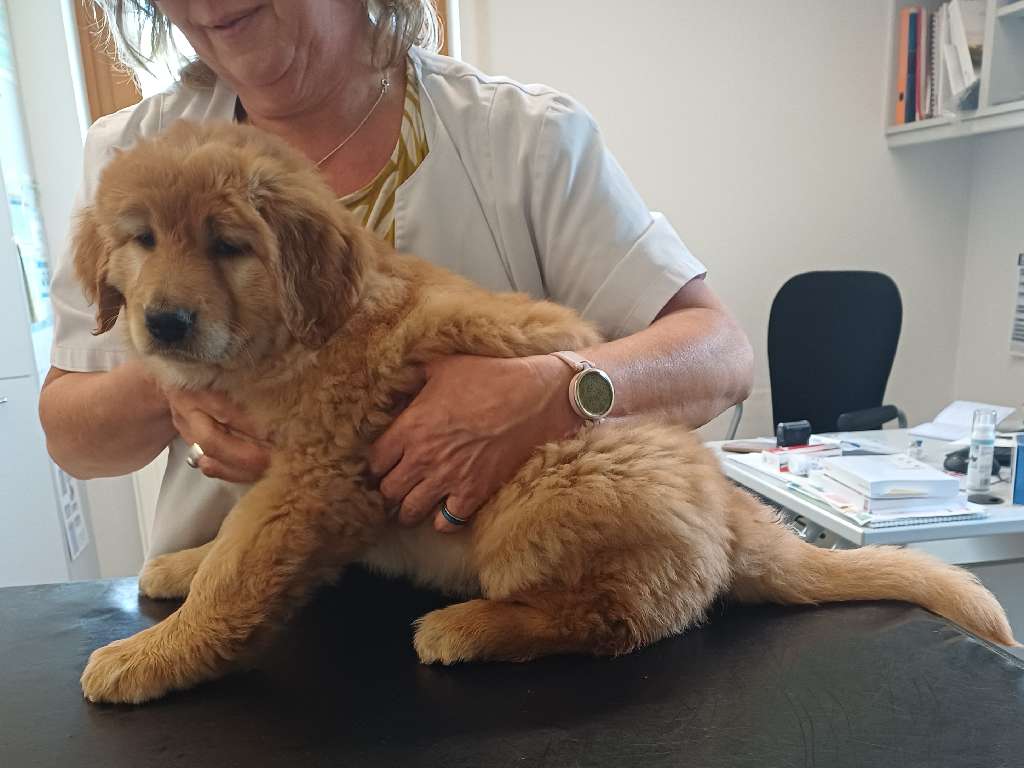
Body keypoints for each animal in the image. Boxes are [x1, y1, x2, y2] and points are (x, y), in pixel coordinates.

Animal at [73, 121, 1015, 704]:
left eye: (229, 245)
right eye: (140, 238)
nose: (163, 321)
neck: (303, 333)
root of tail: (735, 514)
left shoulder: (316, 483)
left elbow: (238, 577)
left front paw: (147, 655)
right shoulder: (281, 482)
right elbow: (229, 547)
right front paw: (180, 566)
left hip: (549, 486)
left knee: (628, 618)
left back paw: (470, 626)